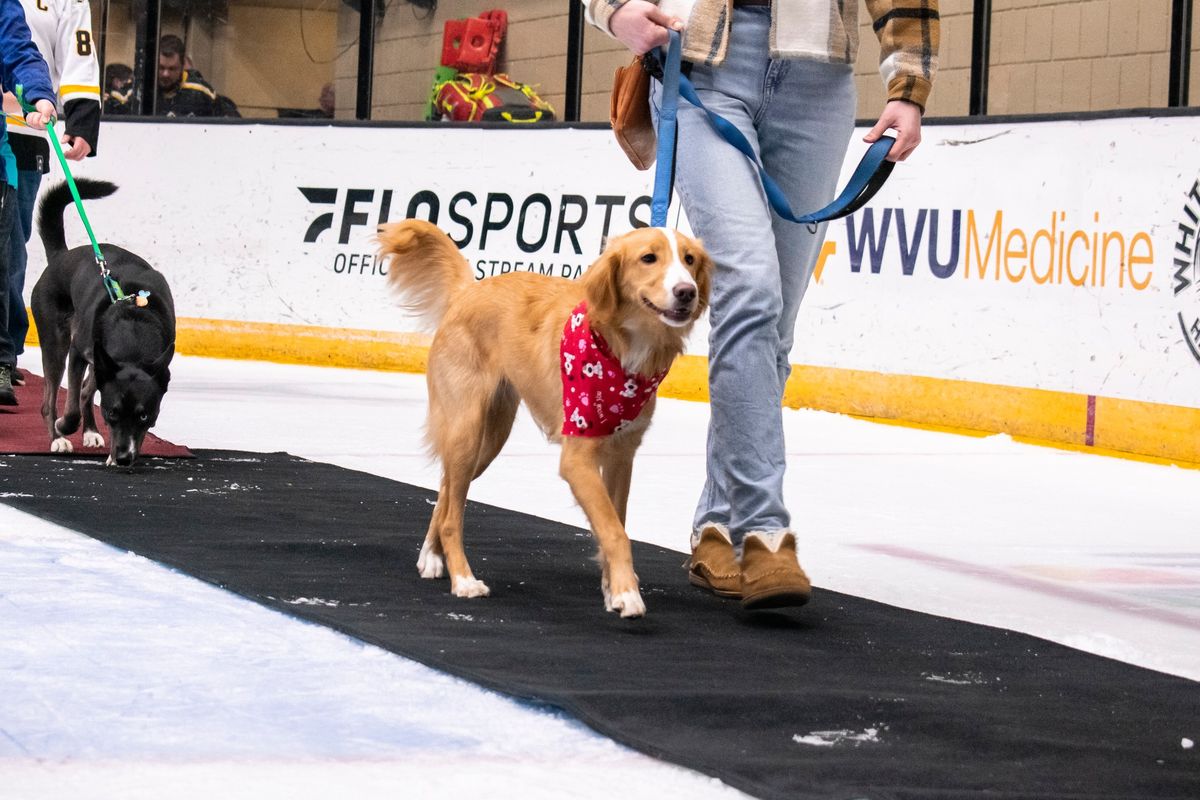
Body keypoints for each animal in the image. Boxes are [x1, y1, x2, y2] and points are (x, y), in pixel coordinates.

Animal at [31, 179, 175, 470]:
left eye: (145, 416)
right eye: (111, 412)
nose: (123, 458)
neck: (133, 326)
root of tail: (60, 257)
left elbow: (85, 396)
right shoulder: (78, 352)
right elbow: (72, 407)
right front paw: (64, 426)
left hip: (100, 361)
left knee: (87, 391)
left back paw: (90, 433)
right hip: (56, 342)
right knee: (51, 398)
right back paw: (57, 437)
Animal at [379, 220, 705, 618]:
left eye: (689, 260)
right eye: (648, 258)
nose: (687, 292)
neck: (621, 347)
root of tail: (468, 290)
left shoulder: (622, 455)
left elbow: (615, 521)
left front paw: (613, 589)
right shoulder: (577, 458)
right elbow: (615, 531)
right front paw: (628, 594)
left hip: (488, 439)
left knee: (446, 491)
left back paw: (431, 556)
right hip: (466, 429)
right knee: (453, 514)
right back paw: (464, 579)